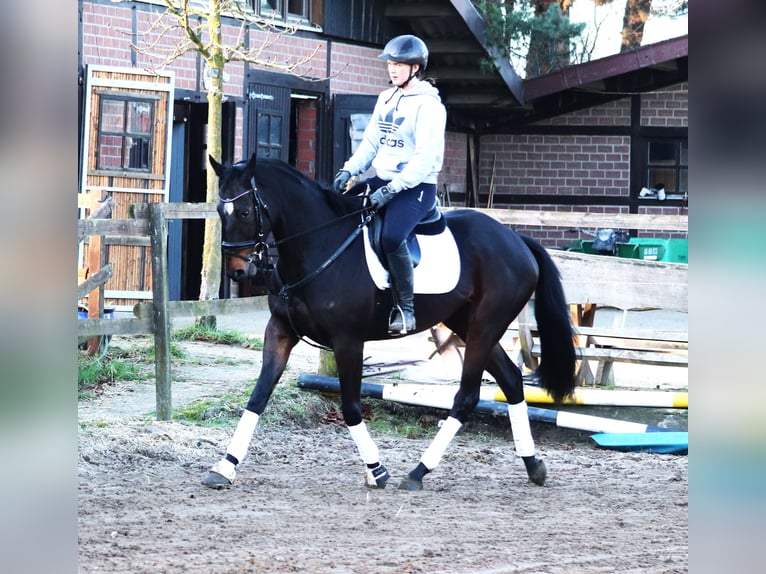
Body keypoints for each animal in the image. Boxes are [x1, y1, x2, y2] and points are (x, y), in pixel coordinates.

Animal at [204, 155, 576, 492]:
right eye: (221, 211)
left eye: (245, 212)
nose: (238, 272)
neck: (317, 247)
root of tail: (516, 240)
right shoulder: (280, 332)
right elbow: (257, 397)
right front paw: (224, 467)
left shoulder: (348, 341)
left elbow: (351, 407)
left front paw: (376, 470)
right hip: (467, 325)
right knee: (511, 380)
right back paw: (532, 465)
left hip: (485, 326)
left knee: (467, 397)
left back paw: (418, 472)